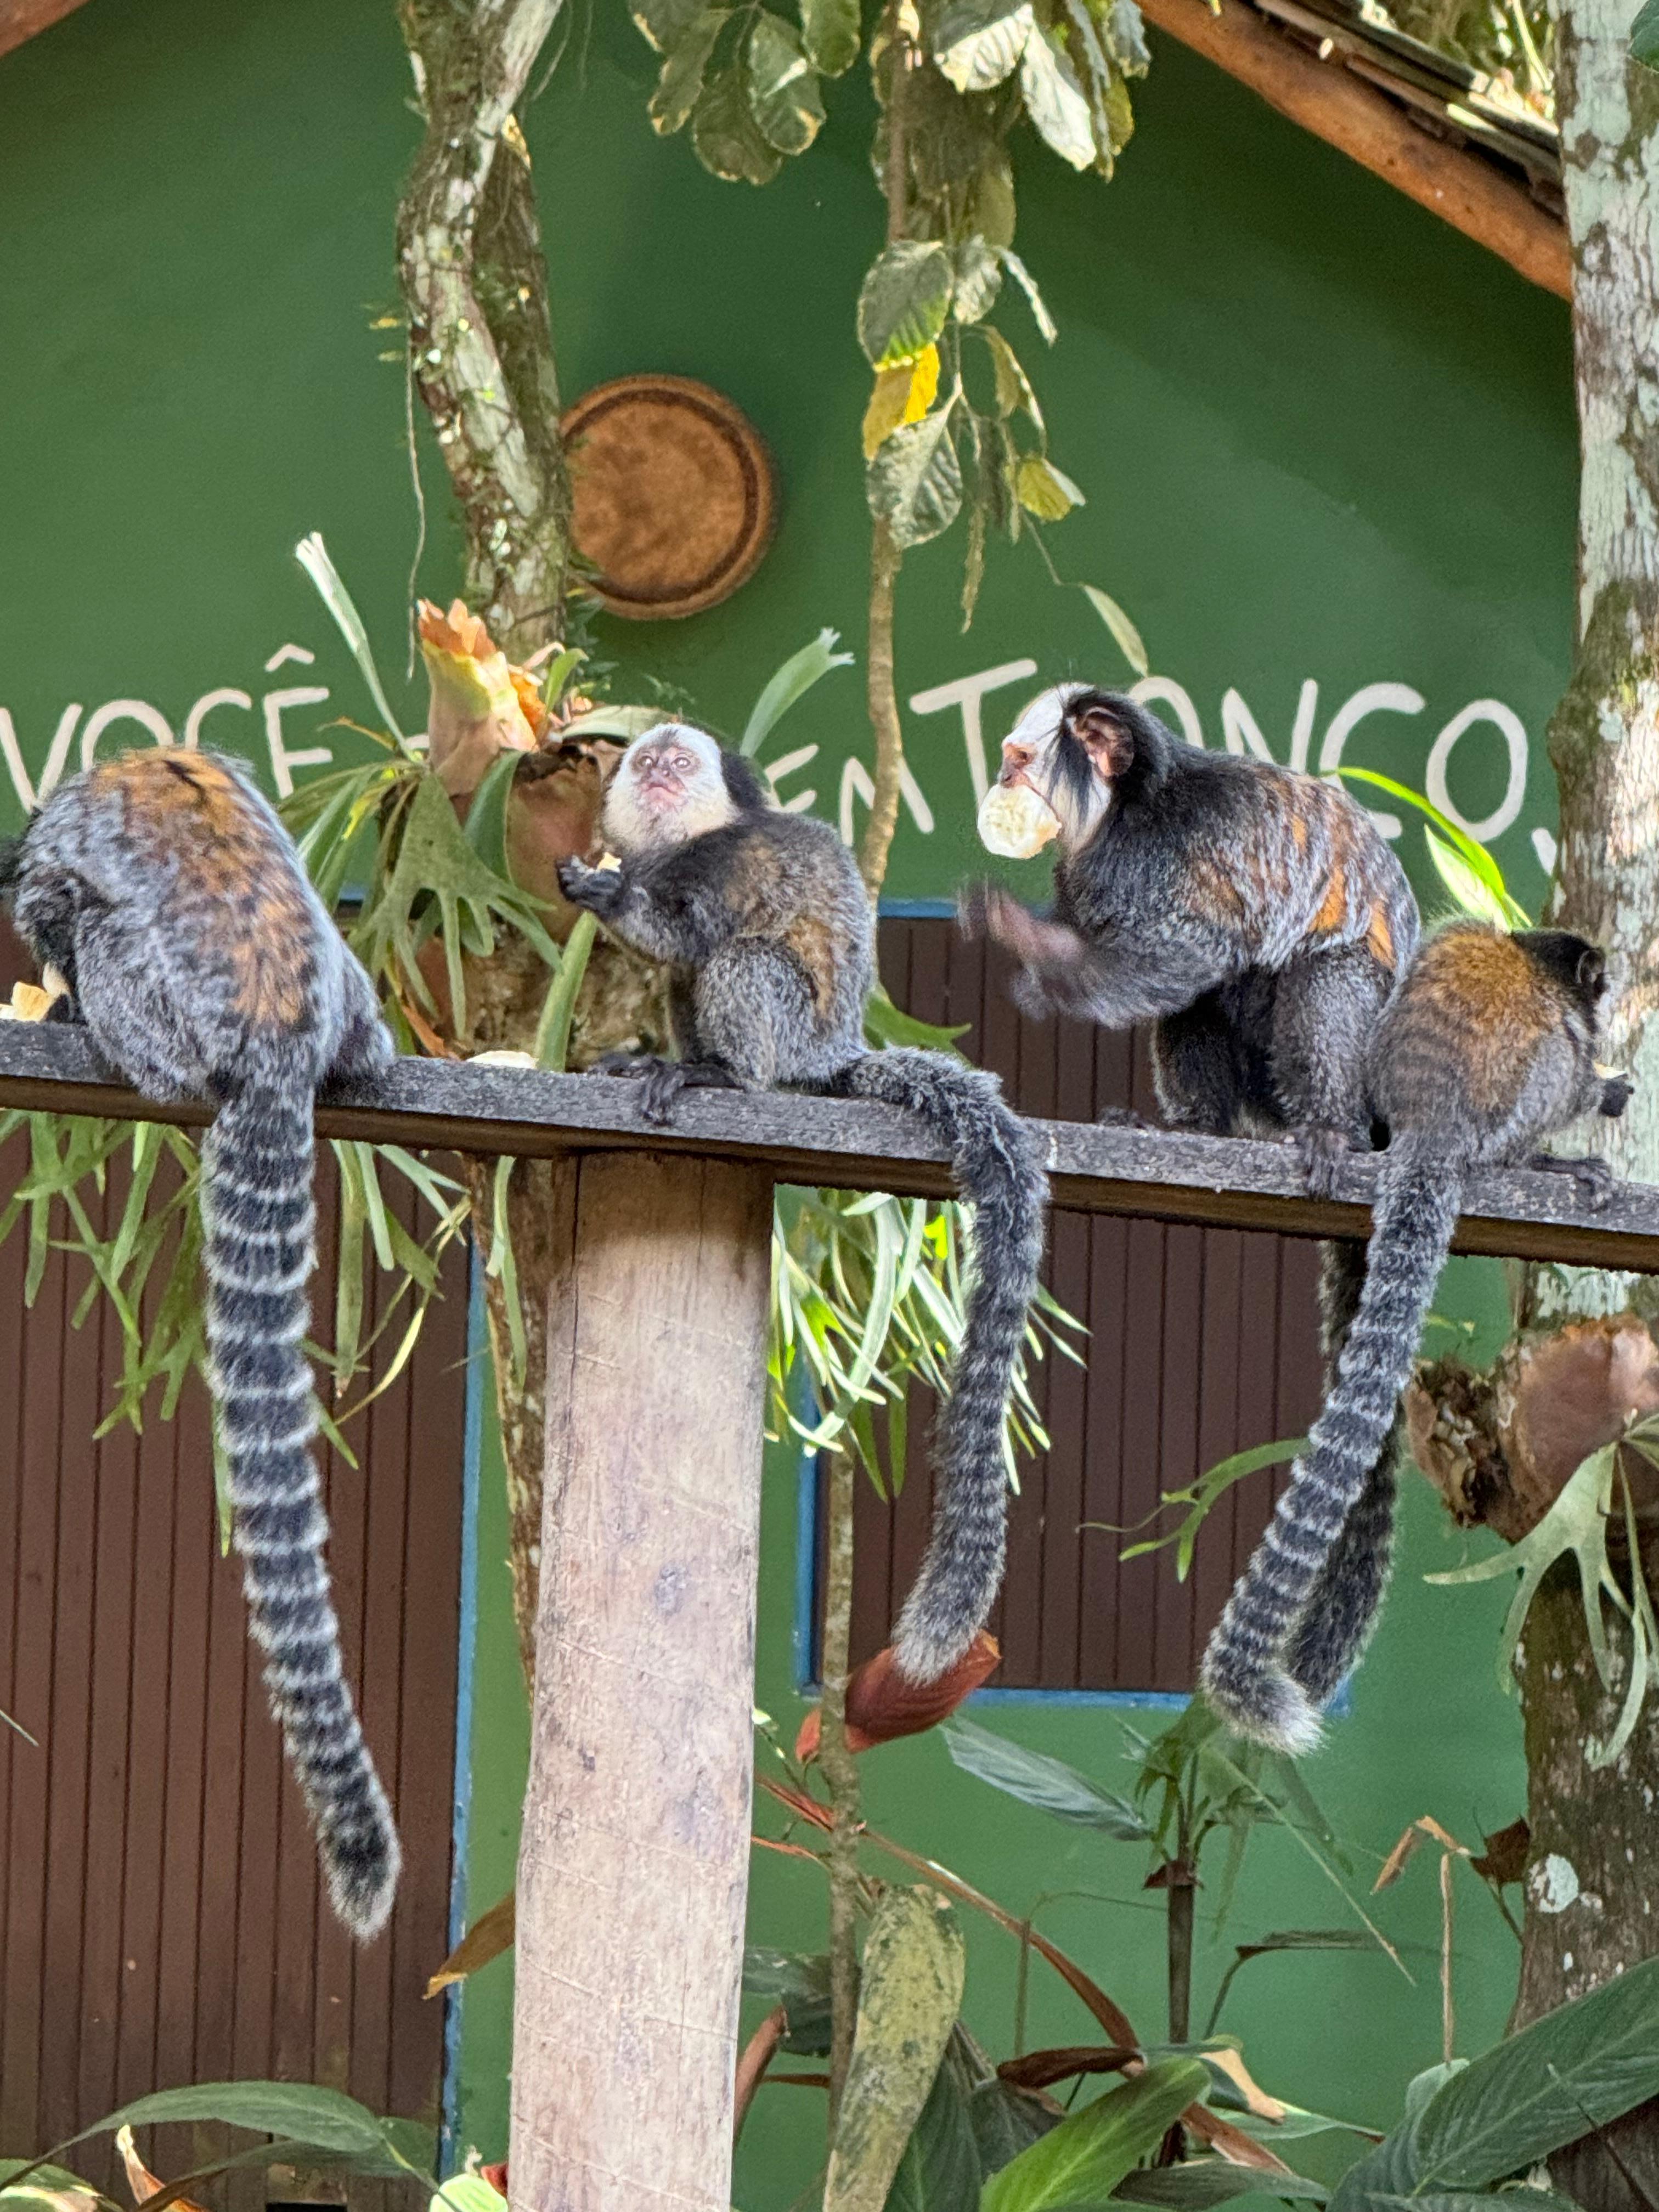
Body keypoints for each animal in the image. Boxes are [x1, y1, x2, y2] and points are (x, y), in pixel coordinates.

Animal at [566, 725, 1044, 1672]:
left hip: (790, 1033)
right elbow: (673, 960)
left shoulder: (731, 862)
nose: (660, 776)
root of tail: (831, 1056)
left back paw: (725, 1074)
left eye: (681, 765)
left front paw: (609, 896)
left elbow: (687, 933)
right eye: (647, 765)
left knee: (741, 961)